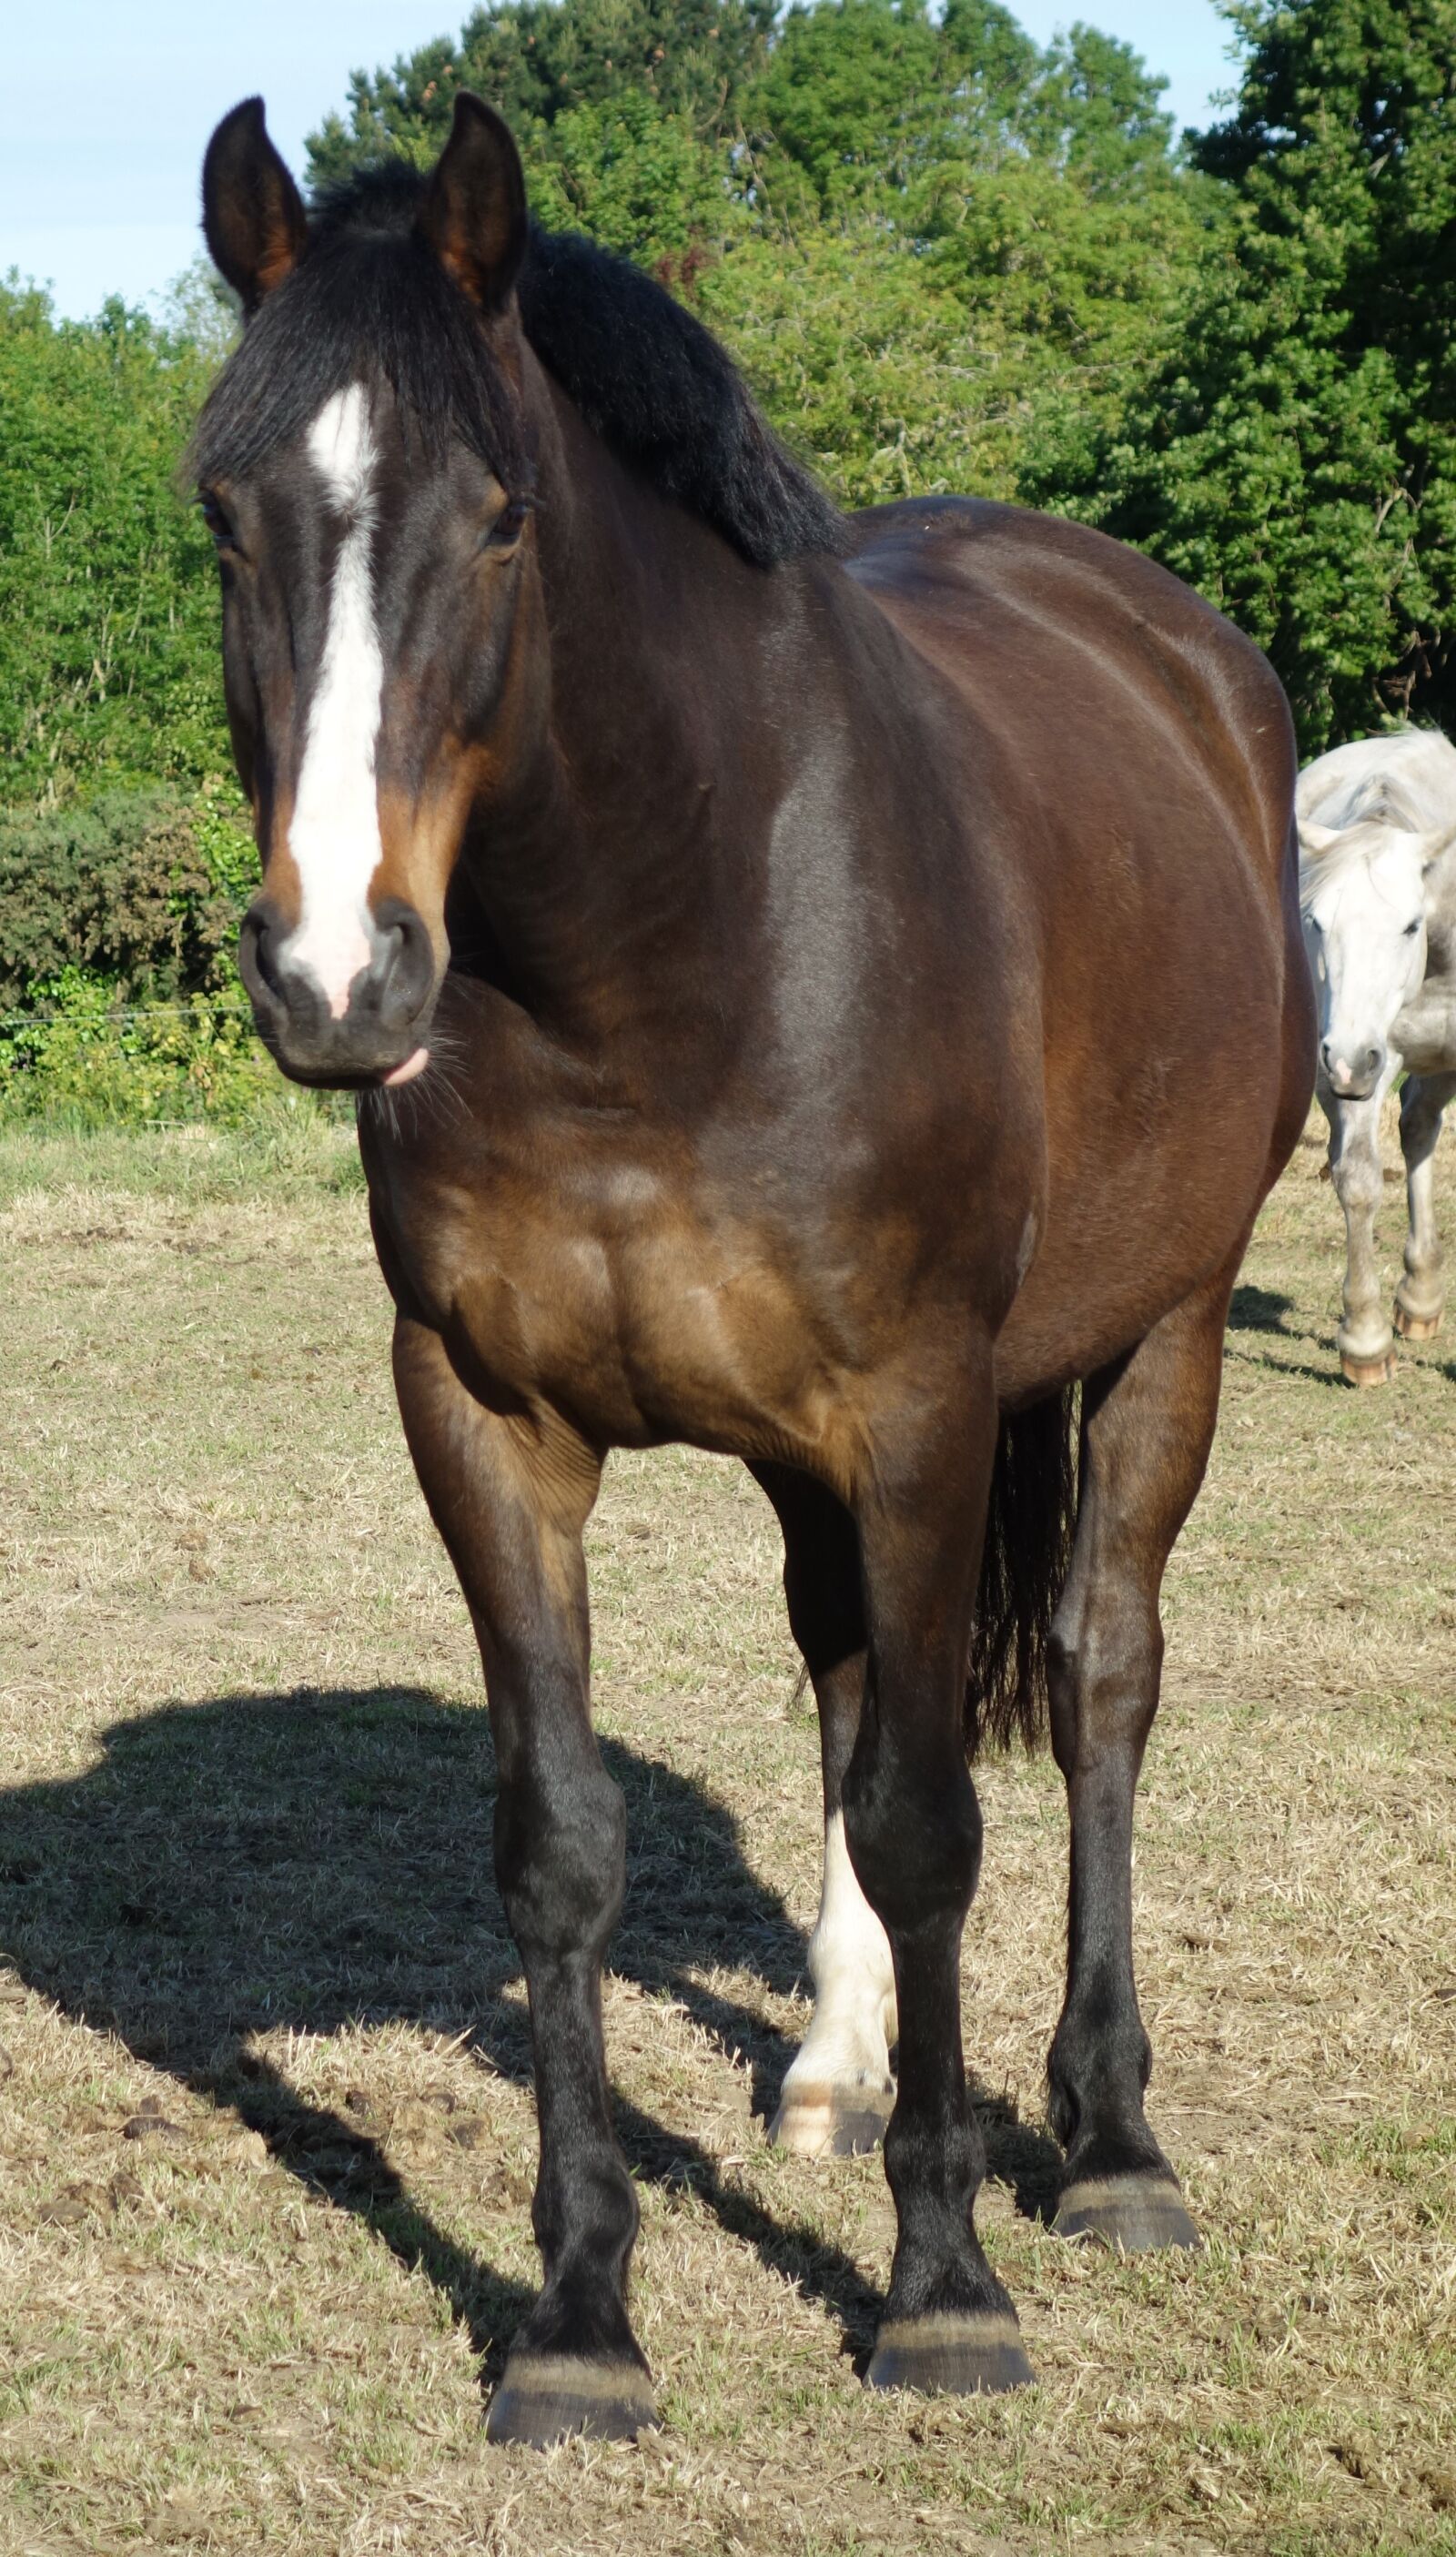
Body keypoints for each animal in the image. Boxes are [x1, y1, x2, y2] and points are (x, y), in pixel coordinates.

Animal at [196, 94, 1320, 2434]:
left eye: (502, 517)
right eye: (224, 514)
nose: (340, 976)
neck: (661, 954)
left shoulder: (917, 1407)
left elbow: (932, 1816)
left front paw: (940, 2287)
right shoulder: (488, 1418)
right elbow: (562, 1844)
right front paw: (577, 2318)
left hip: (1153, 1345)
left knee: (1093, 1684)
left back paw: (1108, 2137)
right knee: (846, 1679)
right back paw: (831, 2063)